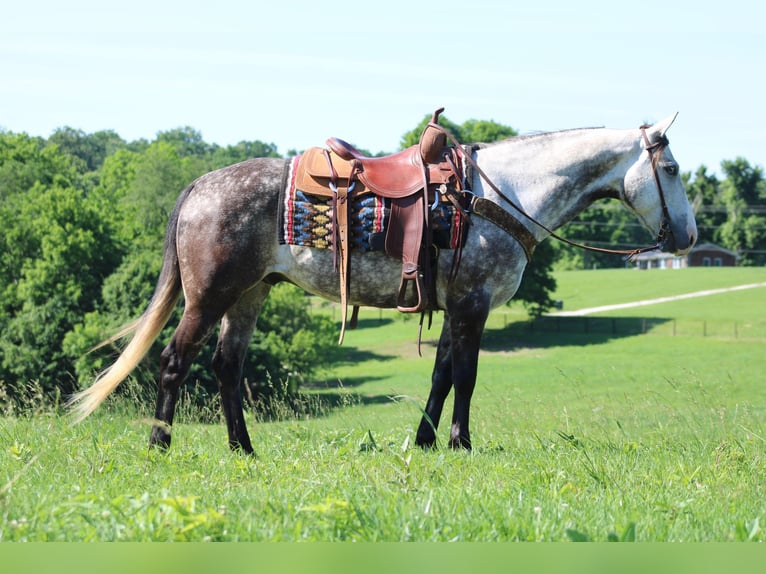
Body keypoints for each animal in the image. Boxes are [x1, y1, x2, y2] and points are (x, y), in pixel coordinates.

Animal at [69, 114, 697, 454]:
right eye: (670, 170)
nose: (688, 237)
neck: (503, 194)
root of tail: (200, 185)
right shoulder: (473, 305)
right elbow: (466, 378)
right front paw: (461, 444)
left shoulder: (454, 306)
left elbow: (442, 376)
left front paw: (425, 442)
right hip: (209, 295)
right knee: (174, 360)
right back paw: (159, 445)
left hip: (249, 294)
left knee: (227, 366)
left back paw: (242, 450)